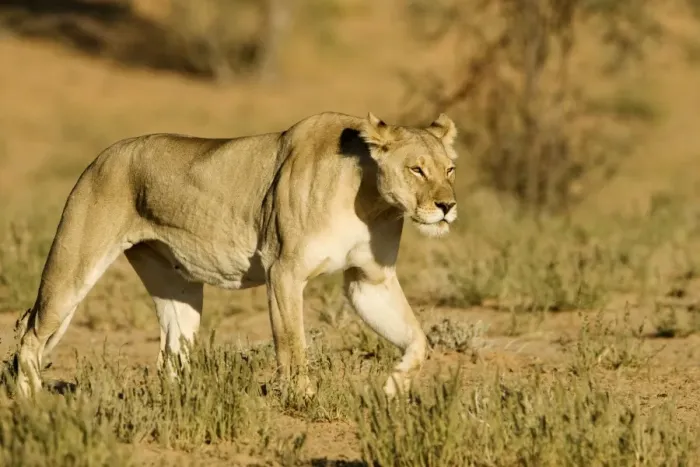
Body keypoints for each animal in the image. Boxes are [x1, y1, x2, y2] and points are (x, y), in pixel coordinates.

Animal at [12, 111, 458, 399]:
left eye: (450, 169)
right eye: (417, 169)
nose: (447, 206)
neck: (371, 201)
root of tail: (102, 155)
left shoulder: (369, 280)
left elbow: (417, 340)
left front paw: (393, 386)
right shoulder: (284, 271)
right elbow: (293, 344)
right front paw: (304, 399)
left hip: (178, 288)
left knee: (171, 354)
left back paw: (182, 405)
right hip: (73, 266)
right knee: (31, 332)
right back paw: (28, 399)